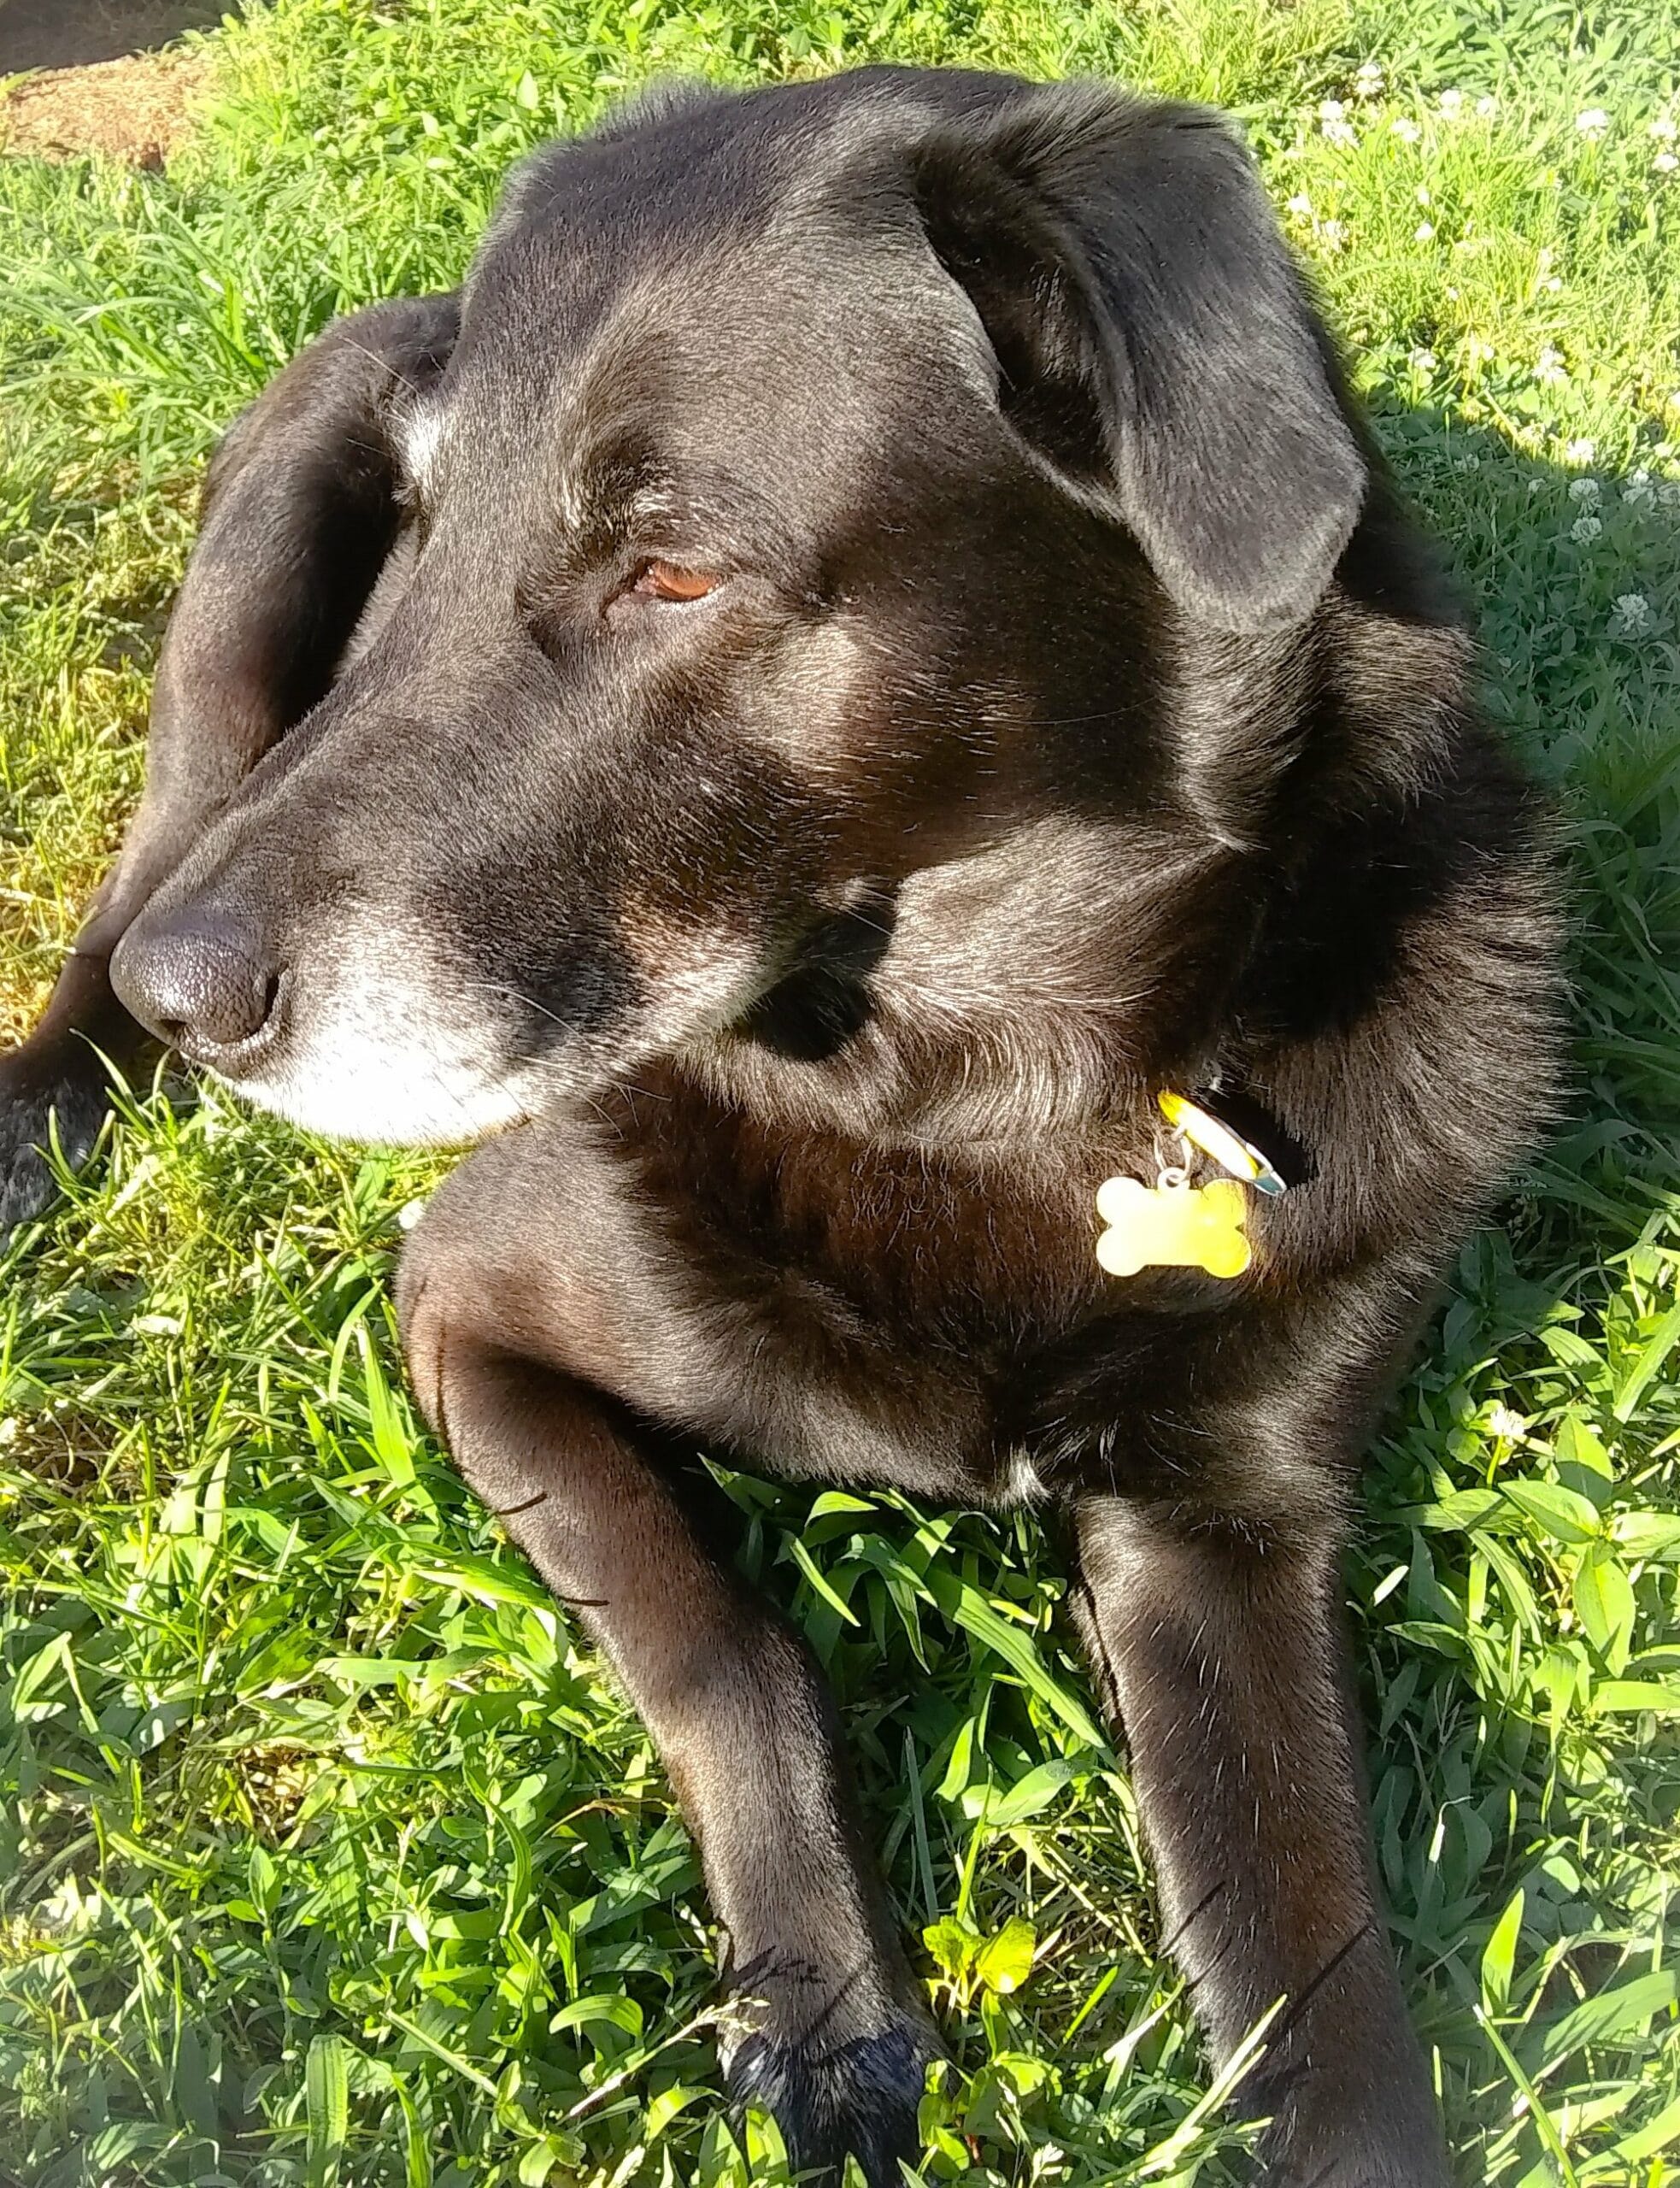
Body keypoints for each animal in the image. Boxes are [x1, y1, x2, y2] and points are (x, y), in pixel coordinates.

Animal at [0, 68, 1557, 2188]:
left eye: (672, 569)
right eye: (427, 537)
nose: (194, 1000)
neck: (977, 1101)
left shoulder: (1231, 1525)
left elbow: (1323, 1999)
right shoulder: (466, 1310)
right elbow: (731, 1646)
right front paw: (824, 2015)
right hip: (234, 637)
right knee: (140, 847)